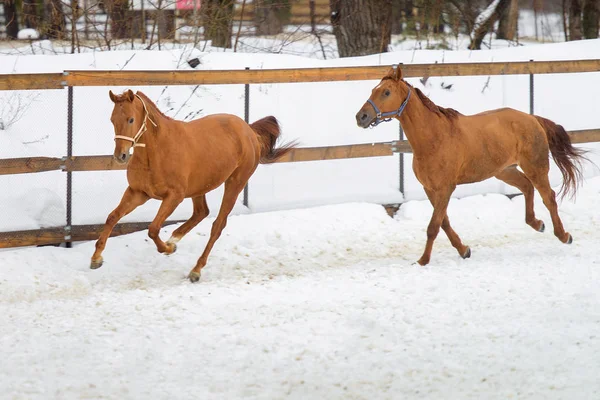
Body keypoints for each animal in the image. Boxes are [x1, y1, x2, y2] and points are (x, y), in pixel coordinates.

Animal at [89, 88, 296, 282]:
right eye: (112, 120)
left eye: (131, 119)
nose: (120, 156)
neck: (157, 151)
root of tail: (249, 130)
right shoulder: (138, 192)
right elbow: (112, 217)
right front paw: (96, 259)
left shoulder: (174, 196)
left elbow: (153, 229)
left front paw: (168, 249)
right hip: (200, 187)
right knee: (201, 212)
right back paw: (175, 238)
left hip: (235, 183)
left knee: (217, 225)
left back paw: (195, 269)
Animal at [356, 65, 584, 266]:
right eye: (373, 90)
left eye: (386, 92)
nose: (361, 117)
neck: (434, 138)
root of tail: (532, 118)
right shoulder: (430, 189)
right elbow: (444, 222)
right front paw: (464, 250)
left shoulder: (446, 188)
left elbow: (433, 226)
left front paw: (423, 261)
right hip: (505, 171)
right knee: (528, 188)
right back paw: (538, 224)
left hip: (535, 166)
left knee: (549, 197)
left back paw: (564, 236)